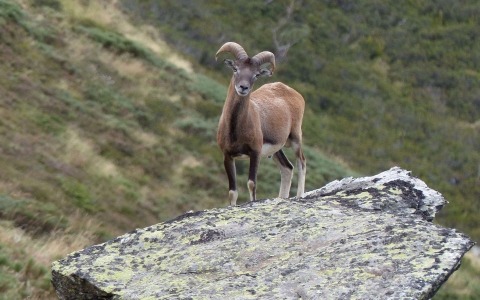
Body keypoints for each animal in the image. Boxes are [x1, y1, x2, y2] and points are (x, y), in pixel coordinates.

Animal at [216, 42, 306, 206]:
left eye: (256, 74)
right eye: (235, 68)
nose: (243, 87)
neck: (235, 128)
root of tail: (294, 93)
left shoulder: (255, 153)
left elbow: (251, 184)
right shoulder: (228, 156)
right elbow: (232, 192)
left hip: (296, 138)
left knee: (301, 162)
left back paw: (299, 196)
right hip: (277, 150)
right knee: (287, 168)